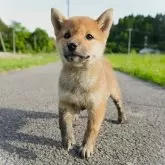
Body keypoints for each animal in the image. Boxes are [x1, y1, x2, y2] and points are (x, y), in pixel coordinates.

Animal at [51, 8, 127, 158]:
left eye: (89, 36)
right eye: (67, 35)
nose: (72, 44)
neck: (79, 77)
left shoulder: (96, 106)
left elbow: (91, 129)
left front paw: (86, 147)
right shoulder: (65, 102)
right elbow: (64, 123)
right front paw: (68, 139)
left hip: (115, 93)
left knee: (119, 105)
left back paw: (121, 117)